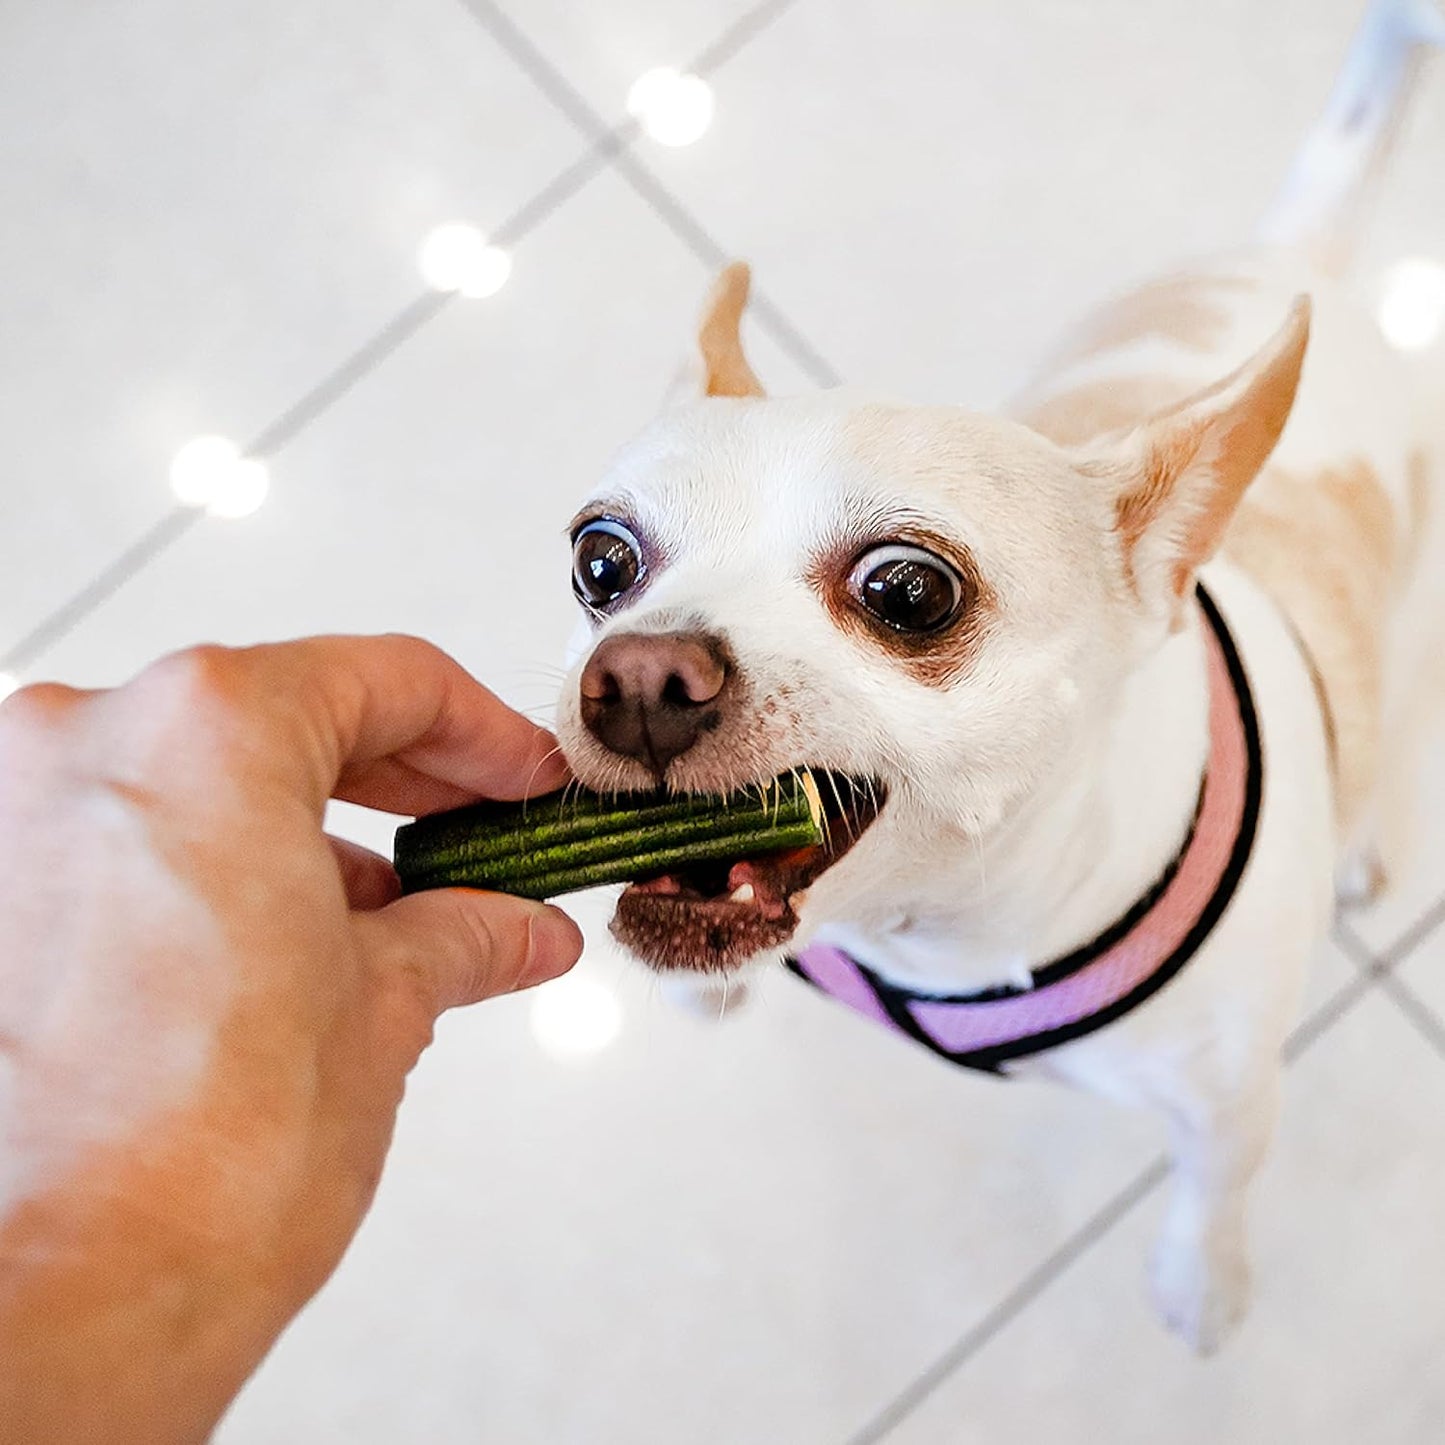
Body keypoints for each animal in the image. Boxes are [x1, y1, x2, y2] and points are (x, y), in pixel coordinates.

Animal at [549, 2, 1433, 1352]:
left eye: (909, 592)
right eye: (599, 560)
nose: (638, 671)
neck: (940, 934)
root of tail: (1292, 256)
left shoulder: (1229, 1102)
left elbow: (1211, 1188)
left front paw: (1201, 1283)